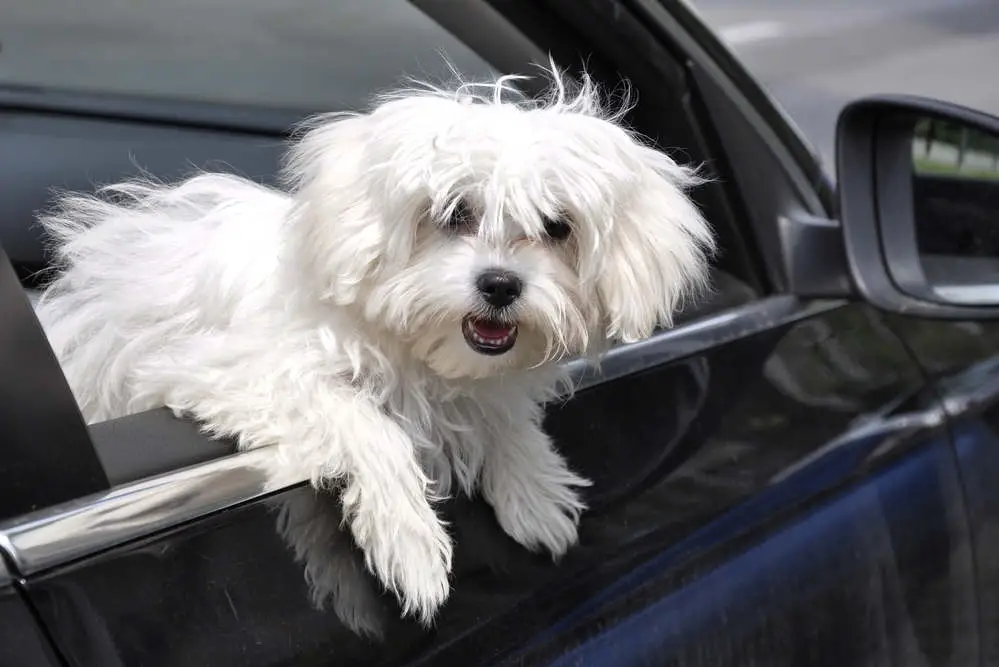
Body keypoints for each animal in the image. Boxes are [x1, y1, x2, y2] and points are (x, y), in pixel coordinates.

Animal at [35, 62, 716, 628]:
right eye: (454, 212)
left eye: (557, 227)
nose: (500, 285)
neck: (408, 344)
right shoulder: (236, 370)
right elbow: (367, 423)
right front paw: (411, 544)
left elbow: (500, 414)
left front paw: (533, 489)